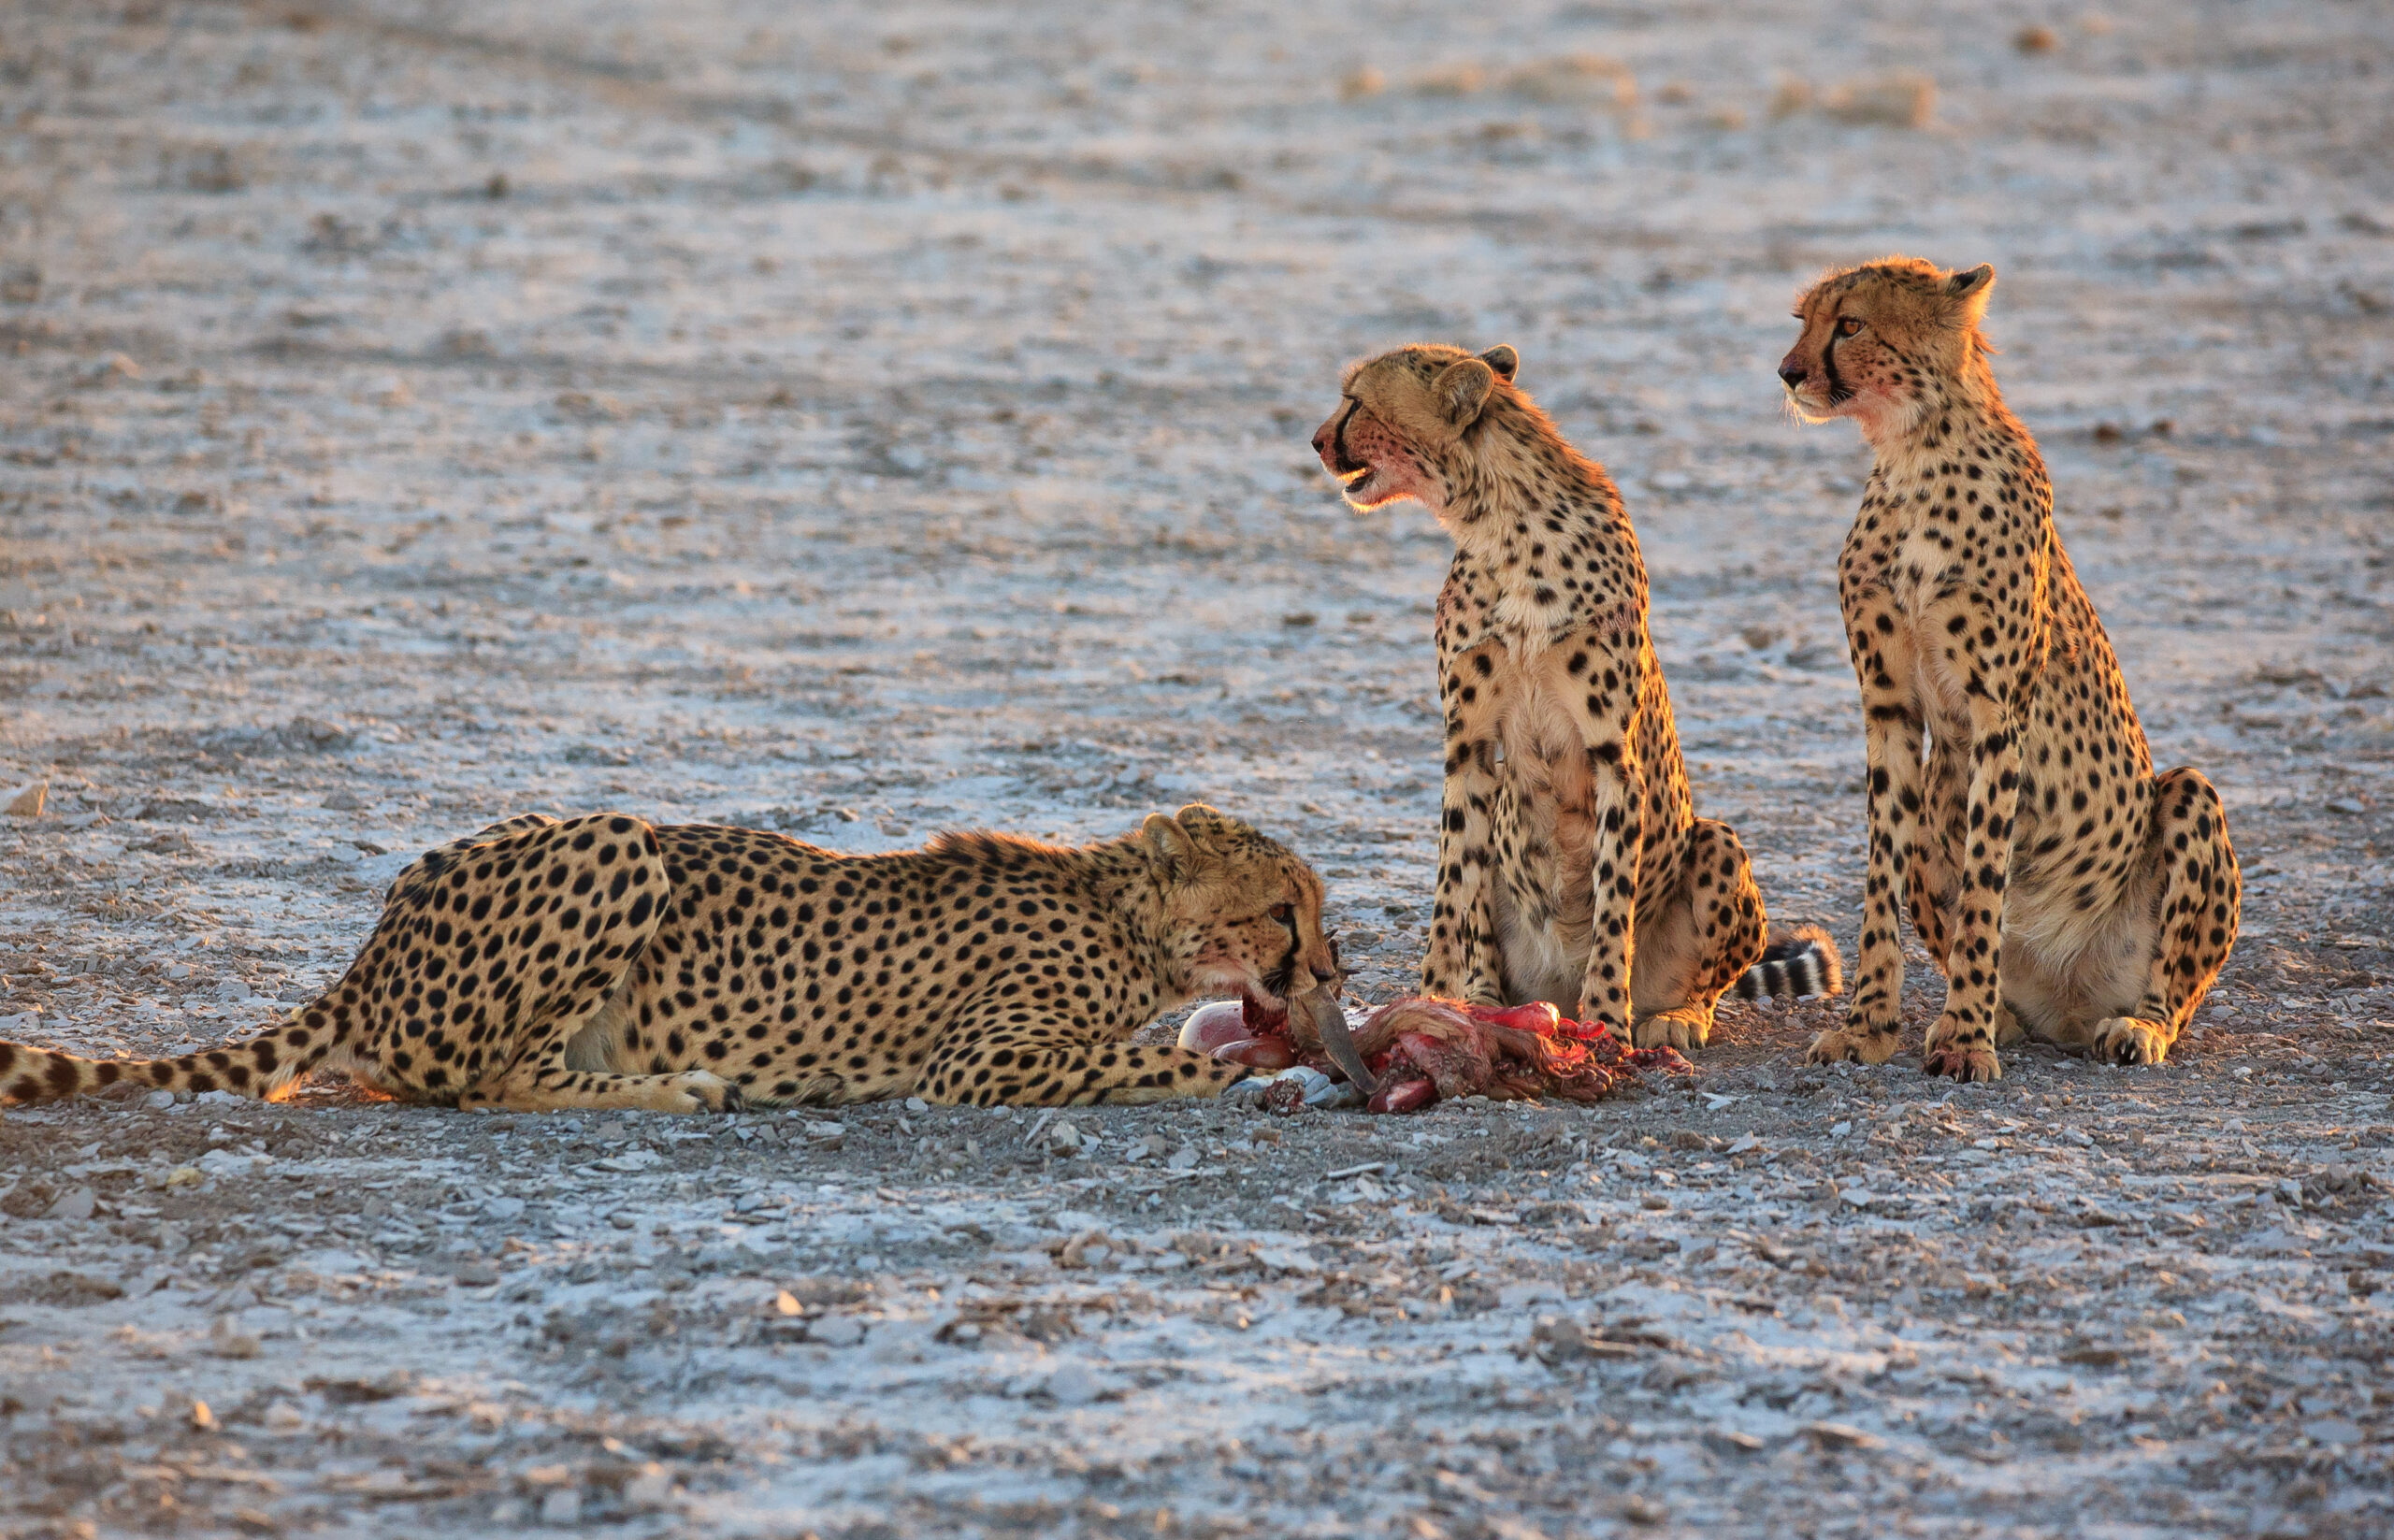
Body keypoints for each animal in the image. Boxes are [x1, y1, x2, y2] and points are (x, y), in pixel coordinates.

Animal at [1321, 342, 1839, 1054]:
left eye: (1356, 402)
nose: (1318, 441)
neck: (1502, 525)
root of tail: (1552, 994)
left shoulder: (1614, 758)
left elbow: (1612, 902)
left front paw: (1608, 1019)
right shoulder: (1468, 747)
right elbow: (1452, 886)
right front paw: (1434, 998)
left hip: (1717, 844)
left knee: (1707, 981)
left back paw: (1673, 1016)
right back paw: (1485, 1001)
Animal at [1781, 252, 2241, 1077]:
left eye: (1851, 324)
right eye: (1804, 320)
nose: (1787, 372)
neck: (1913, 455)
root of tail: (2069, 1006)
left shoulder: (1999, 715)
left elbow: (1985, 884)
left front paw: (1965, 1037)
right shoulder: (1888, 708)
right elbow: (1880, 883)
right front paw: (1870, 1027)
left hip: (2187, 799)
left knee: (2174, 991)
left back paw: (2131, 1027)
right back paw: (1995, 1015)